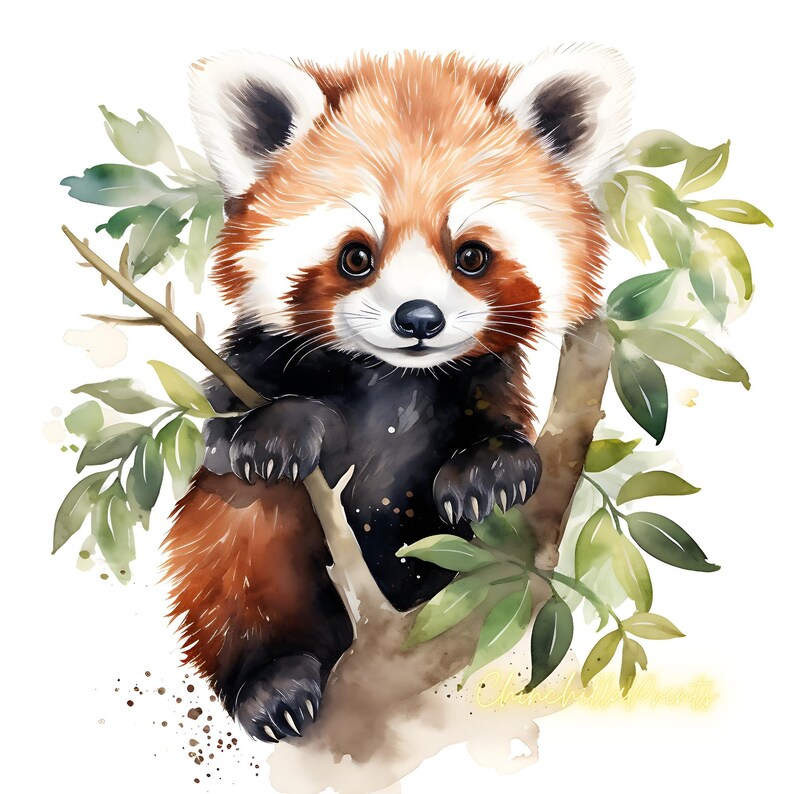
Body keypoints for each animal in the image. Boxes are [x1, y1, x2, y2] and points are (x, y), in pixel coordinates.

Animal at [163, 48, 631, 743]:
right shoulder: (251, 364)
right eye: (356, 256)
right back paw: (274, 681)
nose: (418, 319)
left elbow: (499, 430)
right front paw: (282, 431)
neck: (395, 381)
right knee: (237, 547)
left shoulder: (485, 381)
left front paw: (487, 471)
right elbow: (225, 434)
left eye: (472, 255)